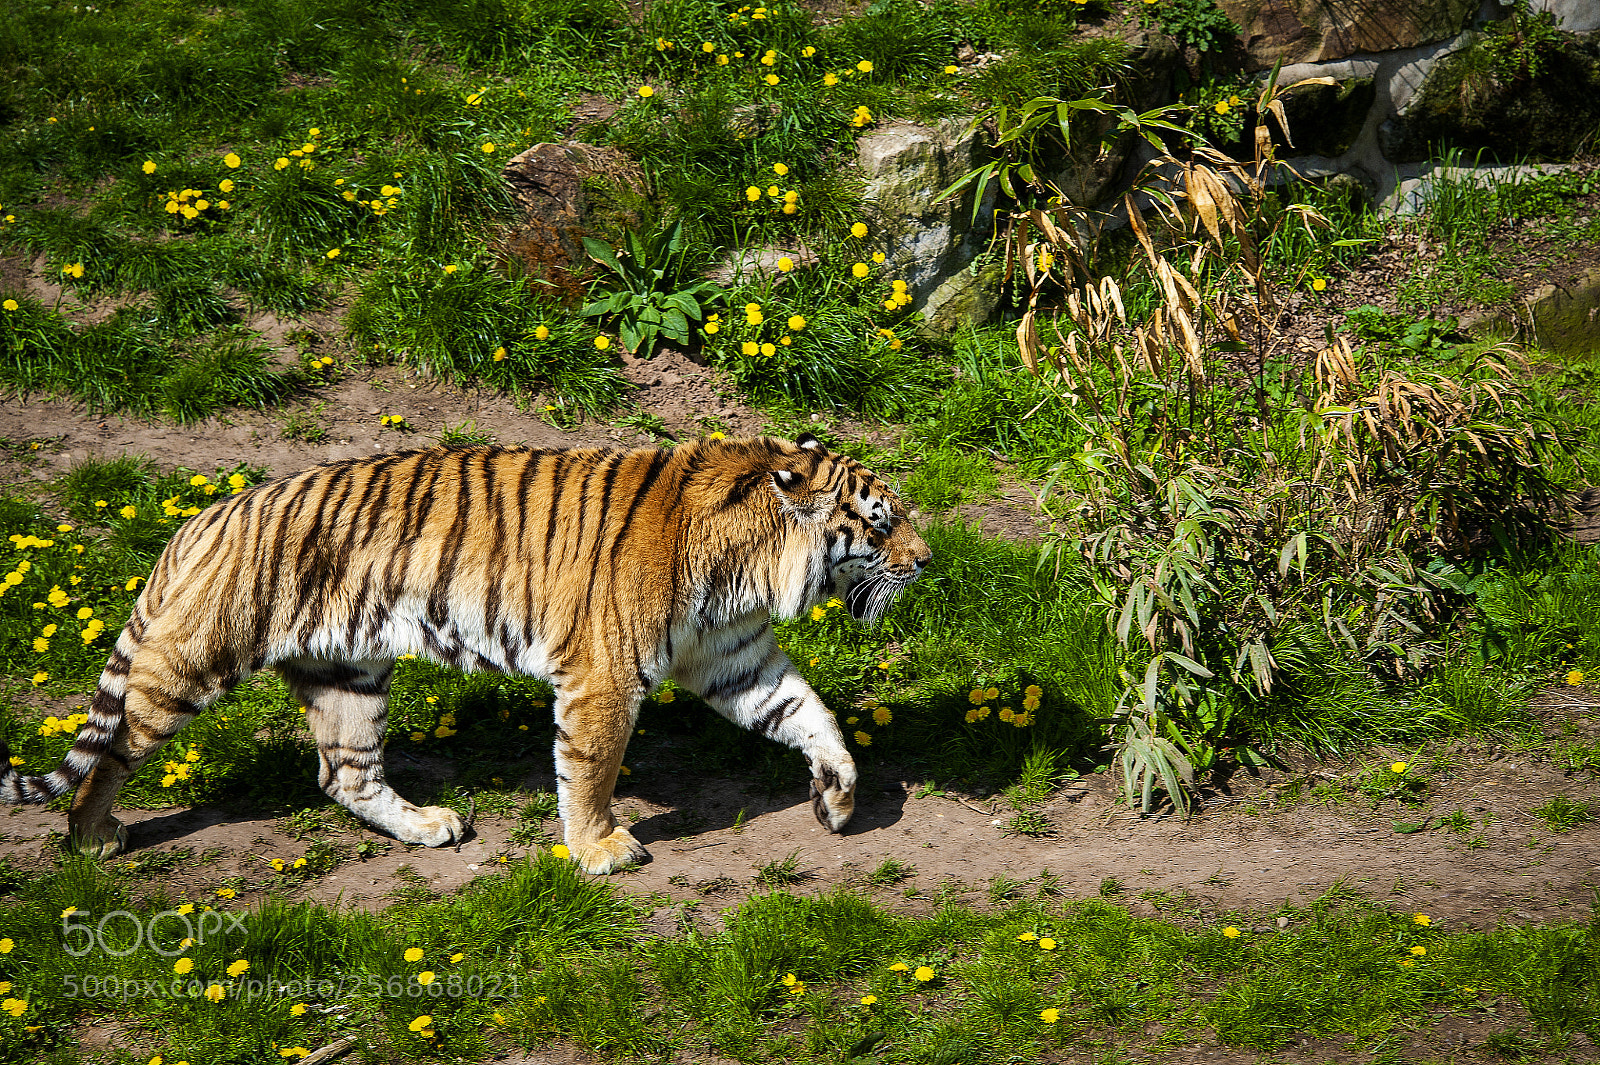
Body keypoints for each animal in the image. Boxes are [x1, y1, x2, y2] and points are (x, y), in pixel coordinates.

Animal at [0, 433, 930, 873]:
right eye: (879, 523)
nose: (928, 561)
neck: (752, 561)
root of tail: (201, 517)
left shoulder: (734, 657)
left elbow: (809, 712)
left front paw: (841, 795)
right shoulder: (605, 674)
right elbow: (591, 766)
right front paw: (598, 849)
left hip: (348, 671)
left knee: (344, 774)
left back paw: (429, 825)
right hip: (192, 663)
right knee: (112, 749)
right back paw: (91, 838)